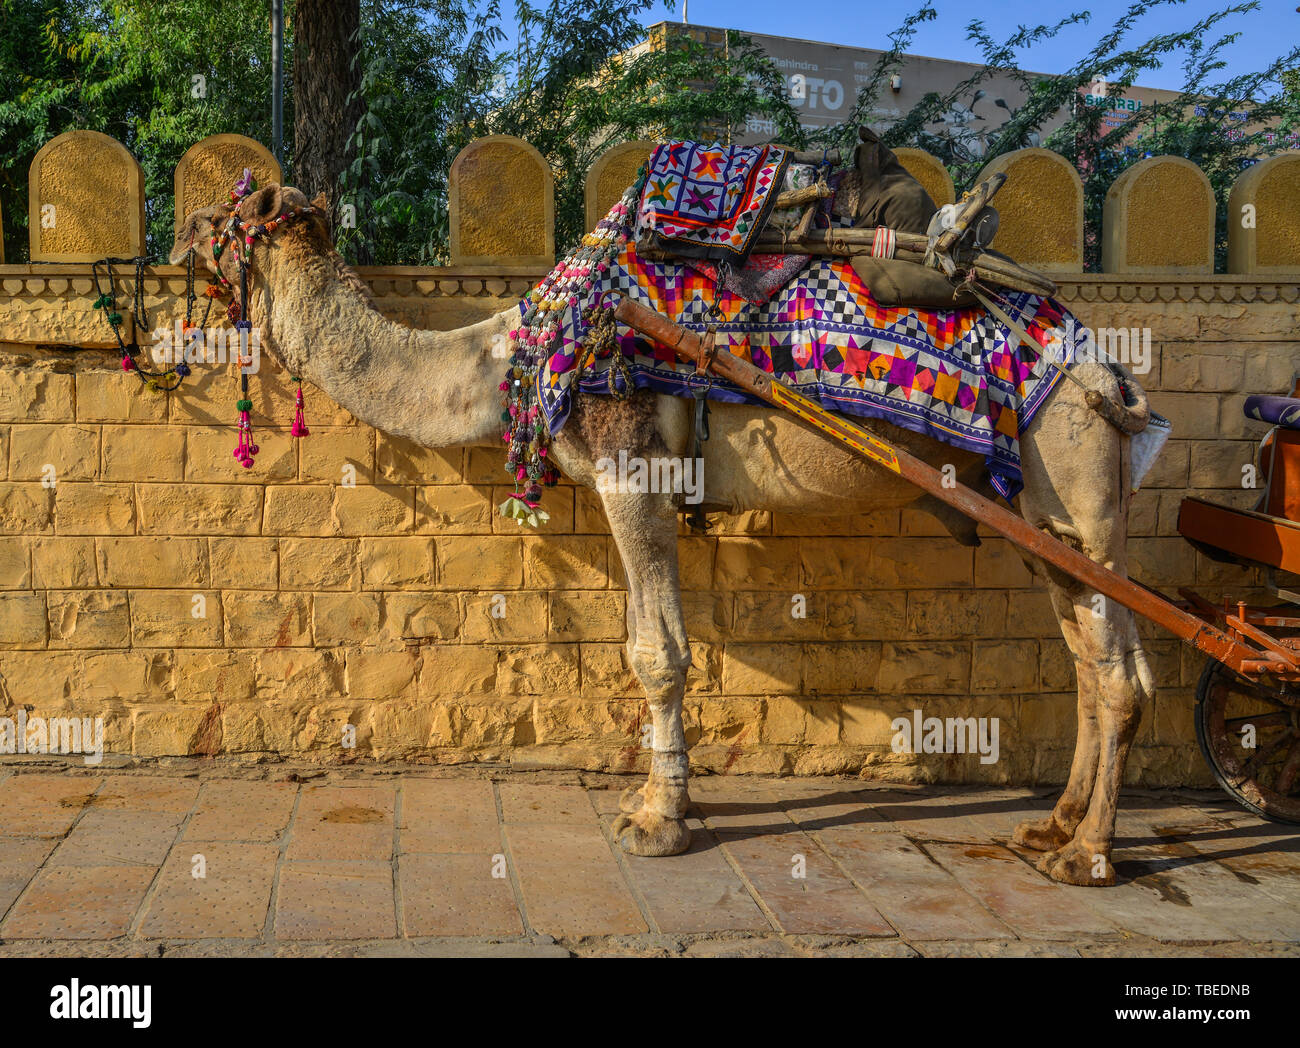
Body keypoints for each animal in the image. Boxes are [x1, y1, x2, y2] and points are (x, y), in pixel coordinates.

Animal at [170, 182, 1159, 884]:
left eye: (225, 216)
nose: (175, 238)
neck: (517, 354)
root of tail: (1110, 370)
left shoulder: (630, 466)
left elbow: (658, 653)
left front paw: (657, 820)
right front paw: (664, 803)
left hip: (1071, 472)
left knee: (1116, 668)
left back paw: (1088, 856)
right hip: (1035, 513)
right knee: (1088, 651)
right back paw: (1053, 825)